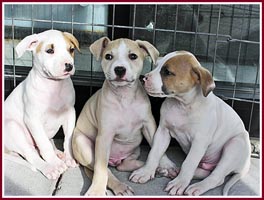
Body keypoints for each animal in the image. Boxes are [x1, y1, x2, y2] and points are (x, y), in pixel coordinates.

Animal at [4, 29, 80, 180]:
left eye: (71, 49)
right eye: (50, 50)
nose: (69, 65)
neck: (54, 86)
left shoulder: (70, 113)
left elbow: (68, 138)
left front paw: (69, 157)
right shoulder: (33, 119)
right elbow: (44, 144)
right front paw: (54, 164)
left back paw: (58, 154)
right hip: (12, 127)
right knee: (31, 154)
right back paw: (49, 167)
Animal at [71, 37, 175, 195]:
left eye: (133, 56)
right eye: (108, 56)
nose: (119, 69)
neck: (125, 95)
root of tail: (114, 160)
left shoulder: (149, 125)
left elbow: (157, 147)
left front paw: (165, 165)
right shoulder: (105, 136)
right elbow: (101, 170)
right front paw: (96, 190)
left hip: (134, 150)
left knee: (124, 165)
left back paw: (153, 168)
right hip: (84, 146)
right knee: (106, 170)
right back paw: (120, 187)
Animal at [131, 50, 251, 196]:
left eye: (167, 72)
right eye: (156, 66)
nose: (143, 78)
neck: (182, 105)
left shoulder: (199, 142)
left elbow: (189, 163)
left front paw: (180, 183)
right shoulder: (162, 132)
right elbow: (154, 153)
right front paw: (145, 172)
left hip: (235, 145)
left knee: (217, 177)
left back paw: (197, 186)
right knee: (207, 172)